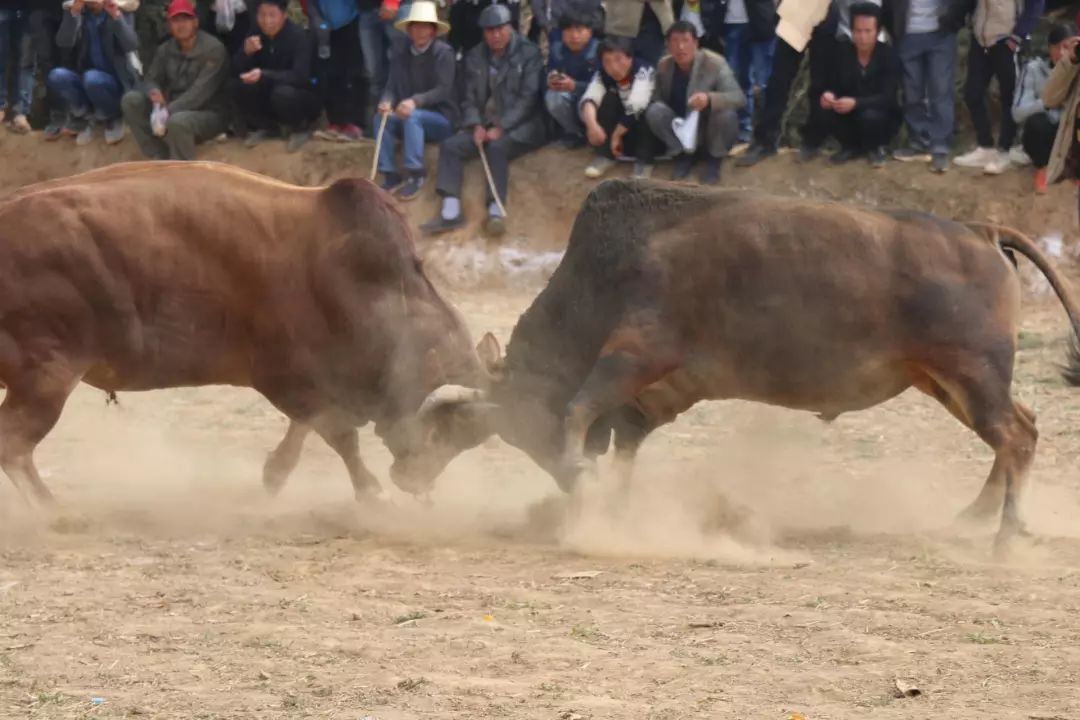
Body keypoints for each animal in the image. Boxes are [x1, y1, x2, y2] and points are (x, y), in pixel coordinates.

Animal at [0, 158, 486, 507]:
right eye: (445, 430)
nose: (416, 482)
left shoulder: (314, 380)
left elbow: (304, 433)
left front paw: (274, 476)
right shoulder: (287, 379)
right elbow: (339, 435)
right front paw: (371, 492)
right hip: (46, 376)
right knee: (13, 444)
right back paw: (51, 511)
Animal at [406, 179, 1080, 546]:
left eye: (526, 424)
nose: (564, 484)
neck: (605, 272)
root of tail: (980, 230)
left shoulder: (637, 353)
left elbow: (579, 407)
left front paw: (582, 478)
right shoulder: (649, 400)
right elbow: (622, 447)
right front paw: (614, 503)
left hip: (972, 376)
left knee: (1016, 436)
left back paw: (1006, 533)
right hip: (948, 382)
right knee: (1020, 428)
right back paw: (975, 515)